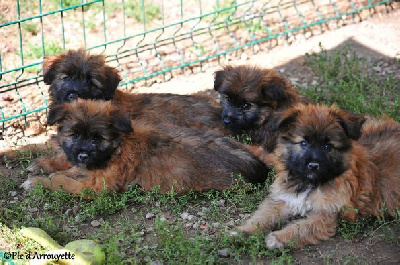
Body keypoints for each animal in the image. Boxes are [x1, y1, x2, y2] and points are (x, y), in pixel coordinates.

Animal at [236, 103, 400, 248]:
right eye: (303, 143)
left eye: (327, 146)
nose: (313, 165)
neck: (310, 183)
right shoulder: (284, 199)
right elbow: (263, 216)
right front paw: (243, 232)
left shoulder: (323, 216)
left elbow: (301, 228)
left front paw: (279, 237)